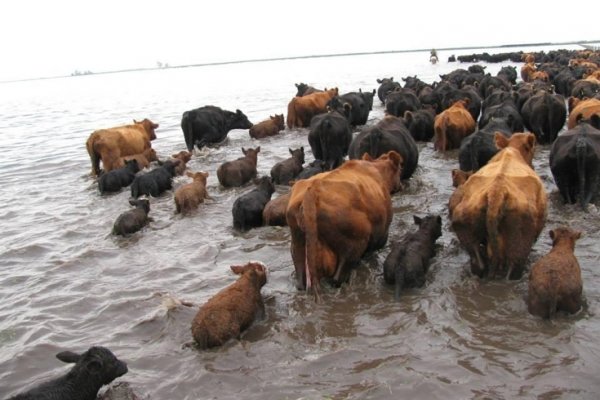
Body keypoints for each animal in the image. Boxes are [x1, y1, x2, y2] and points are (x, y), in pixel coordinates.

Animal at [286, 150, 404, 300]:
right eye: (400, 169)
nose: (401, 185)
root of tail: (313, 190)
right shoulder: (380, 236)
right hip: (353, 245)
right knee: (338, 278)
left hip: (297, 244)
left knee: (301, 279)